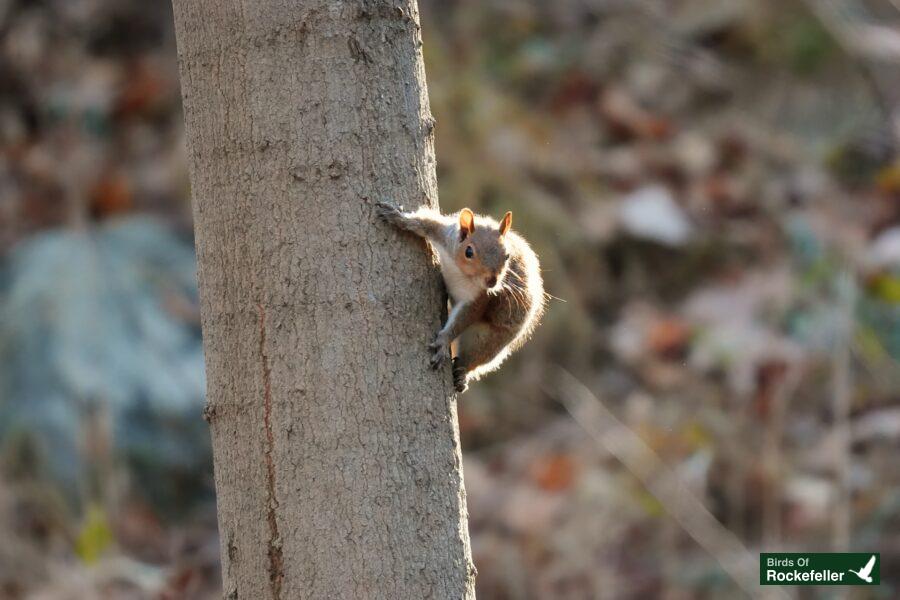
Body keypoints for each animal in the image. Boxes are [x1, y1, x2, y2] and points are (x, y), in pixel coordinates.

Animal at [376, 199, 544, 392]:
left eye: (507, 256)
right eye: (469, 252)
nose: (492, 281)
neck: (462, 272)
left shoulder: (480, 298)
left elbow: (463, 319)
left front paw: (443, 343)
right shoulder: (446, 236)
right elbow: (426, 223)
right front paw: (398, 217)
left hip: (490, 338)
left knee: (476, 357)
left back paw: (463, 374)